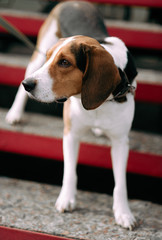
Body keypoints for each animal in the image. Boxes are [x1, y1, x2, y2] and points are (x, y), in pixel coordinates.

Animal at [6, 1, 138, 229]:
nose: (27, 85)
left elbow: (120, 183)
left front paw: (123, 213)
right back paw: (15, 113)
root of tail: (72, 2)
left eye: (65, 62)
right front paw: (66, 199)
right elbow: (69, 172)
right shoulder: (71, 134)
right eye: (50, 57)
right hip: (36, 58)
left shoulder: (121, 141)